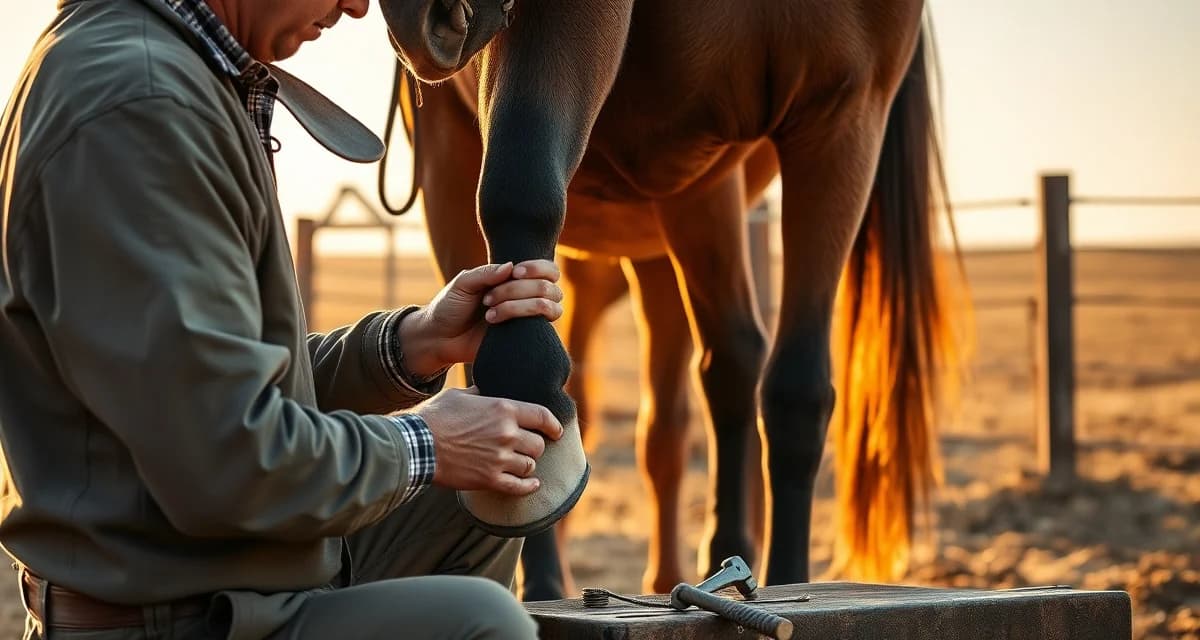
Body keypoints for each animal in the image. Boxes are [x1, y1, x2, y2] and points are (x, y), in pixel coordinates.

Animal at [375, 0, 964, 599]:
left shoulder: (844, 113)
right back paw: (545, 579)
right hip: (467, 172)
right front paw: (525, 425)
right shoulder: (689, 162)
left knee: (701, 390)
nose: (417, 20)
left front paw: (782, 575)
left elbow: (791, 389)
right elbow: (519, 186)